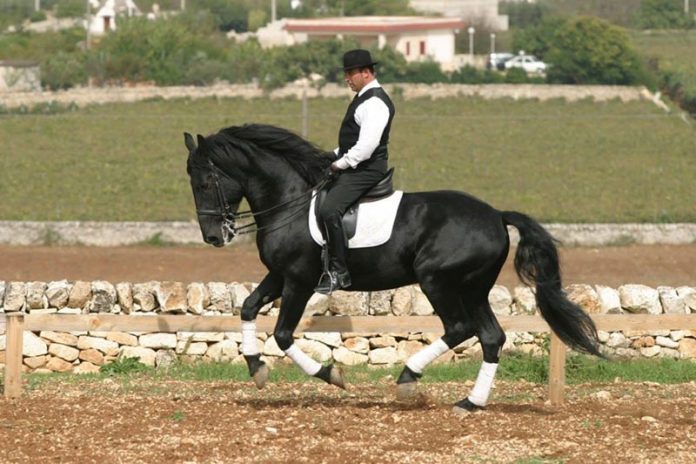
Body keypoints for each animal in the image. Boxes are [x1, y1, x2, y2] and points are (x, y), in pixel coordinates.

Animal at [184, 123, 602, 413]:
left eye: (205, 182)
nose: (214, 236)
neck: (291, 202)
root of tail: (496, 216)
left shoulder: (299, 281)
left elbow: (284, 334)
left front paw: (331, 374)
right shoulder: (279, 275)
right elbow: (247, 308)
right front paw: (256, 367)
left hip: (437, 280)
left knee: (460, 328)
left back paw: (408, 378)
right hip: (472, 288)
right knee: (490, 337)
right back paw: (470, 403)